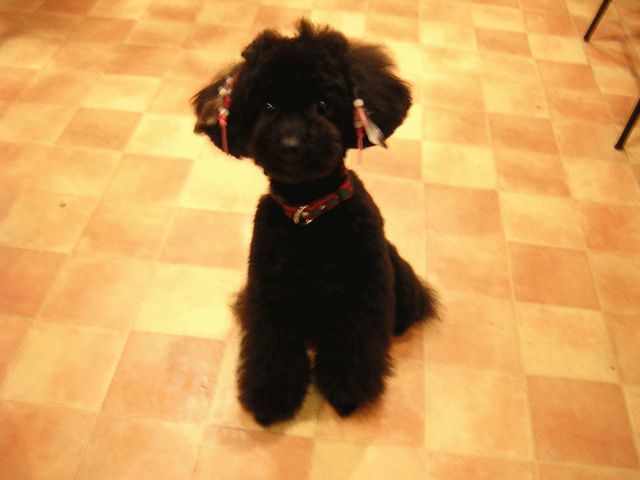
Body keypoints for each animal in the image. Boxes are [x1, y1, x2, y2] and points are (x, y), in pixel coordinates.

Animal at [192, 19, 437, 426]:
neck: (309, 213)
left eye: (323, 104)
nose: (291, 143)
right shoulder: (269, 294)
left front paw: (346, 392)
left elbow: (353, 345)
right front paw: (271, 400)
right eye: (268, 106)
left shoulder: (363, 292)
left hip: (400, 283)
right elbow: (272, 349)